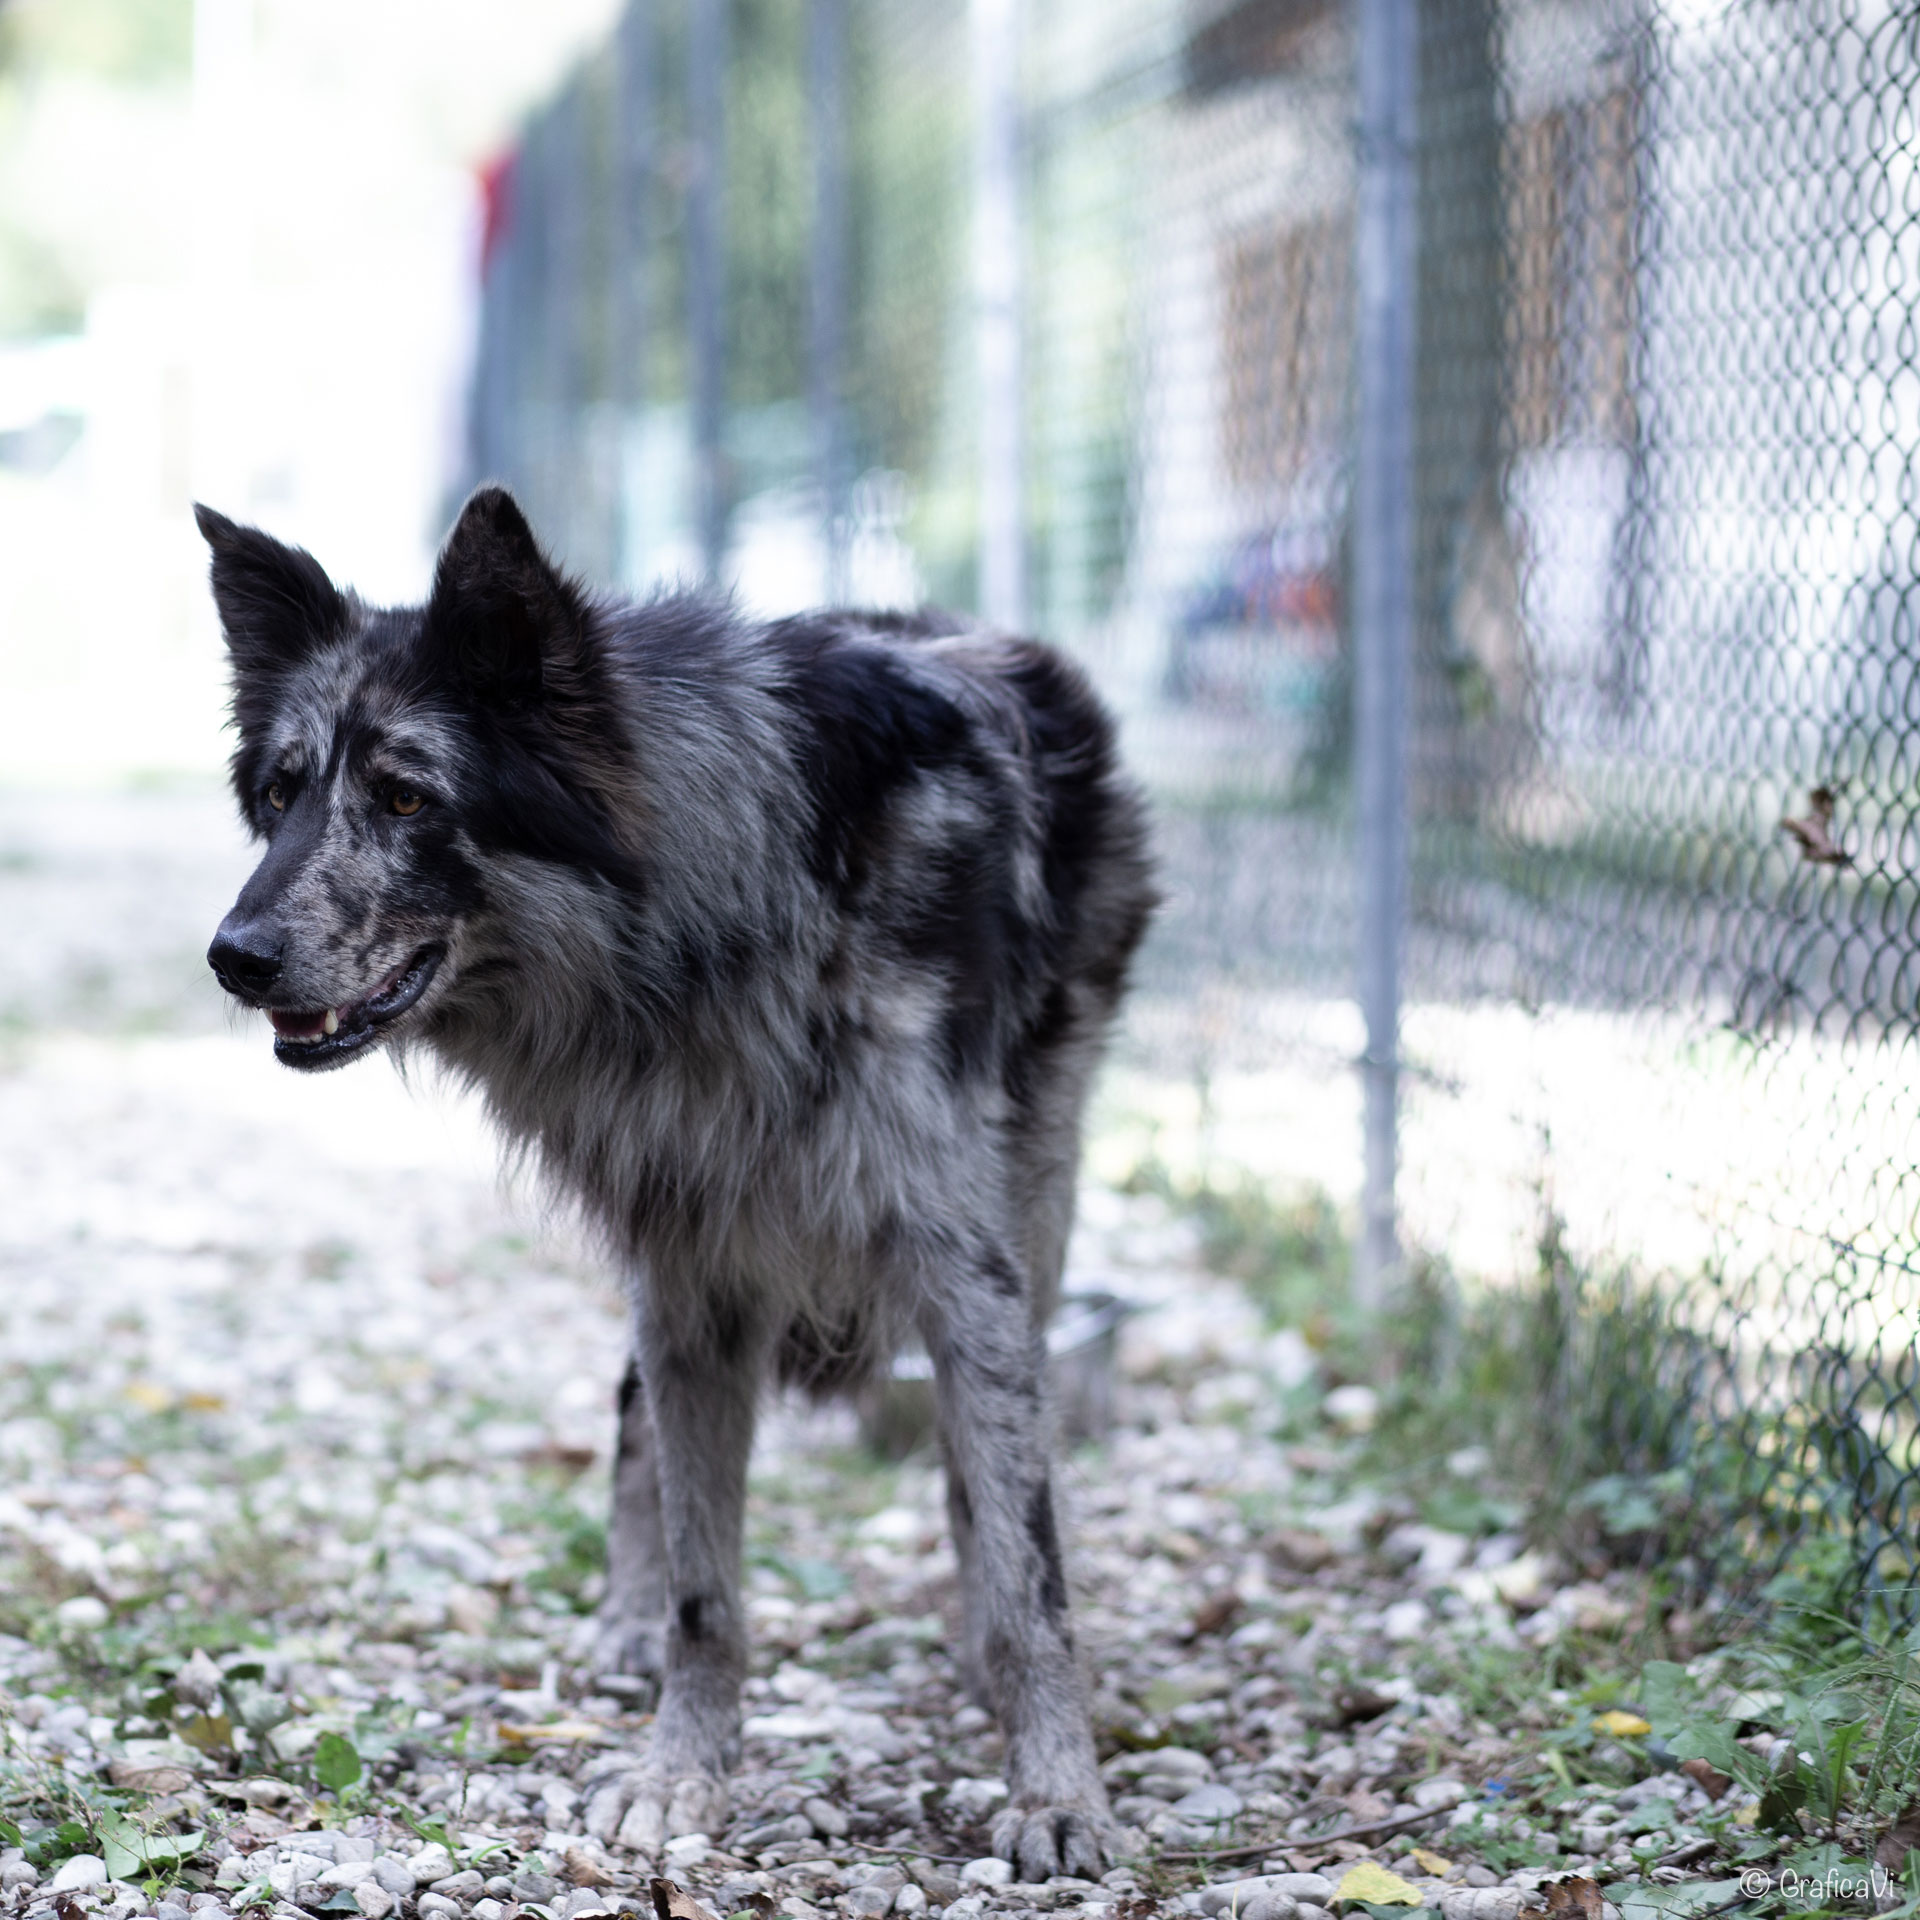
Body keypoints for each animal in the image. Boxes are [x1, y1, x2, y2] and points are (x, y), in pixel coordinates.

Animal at [198, 483, 1152, 1873]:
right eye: (279, 794)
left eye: (409, 798)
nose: (234, 956)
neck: (718, 938)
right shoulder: (691, 1273)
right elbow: (708, 1587)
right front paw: (681, 1769)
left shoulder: (965, 1268)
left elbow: (1031, 1566)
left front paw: (1057, 1790)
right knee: (633, 1415)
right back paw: (626, 1625)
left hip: (1042, 1202)